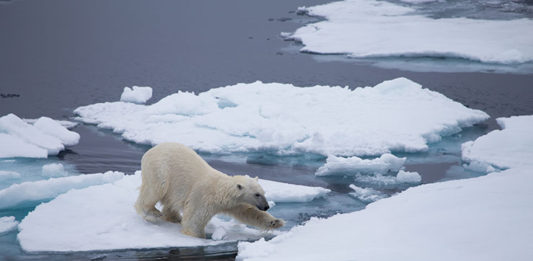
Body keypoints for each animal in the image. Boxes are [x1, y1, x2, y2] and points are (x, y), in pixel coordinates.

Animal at [134, 141, 282, 237]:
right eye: (257, 194)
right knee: (155, 189)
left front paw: (276, 222)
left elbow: (248, 213)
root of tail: (150, 150)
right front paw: (197, 236)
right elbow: (194, 220)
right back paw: (151, 213)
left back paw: (174, 217)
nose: (266, 206)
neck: (220, 191)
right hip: (160, 169)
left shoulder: (234, 203)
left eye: (263, 193)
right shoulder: (202, 197)